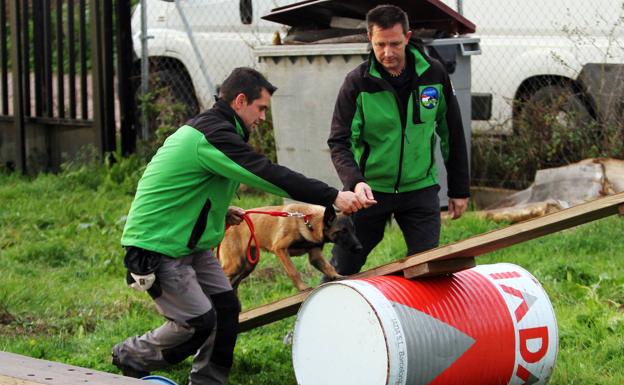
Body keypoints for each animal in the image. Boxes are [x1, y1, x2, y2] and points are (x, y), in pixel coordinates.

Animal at [218, 202, 360, 290]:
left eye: (353, 229)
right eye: (342, 231)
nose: (359, 248)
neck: (307, 221)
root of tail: (227, 225)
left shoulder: (315, 255)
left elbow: (328, 266)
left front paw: (337, 276)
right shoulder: (280, 249)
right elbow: (293, 271)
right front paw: (302, 287)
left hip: (247, 266)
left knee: (233, 283)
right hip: (235, 264)